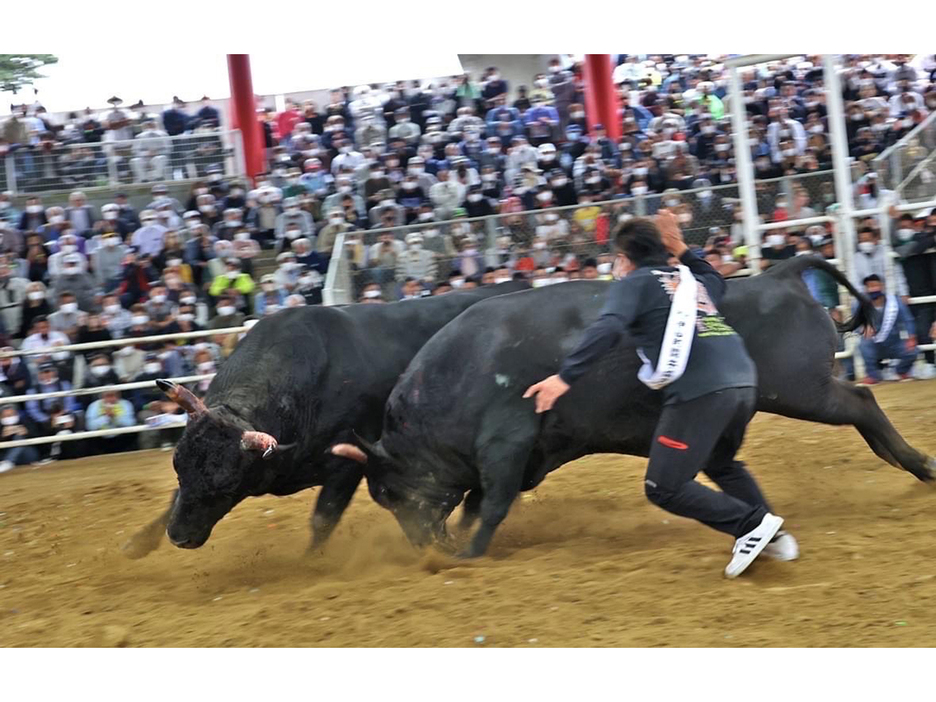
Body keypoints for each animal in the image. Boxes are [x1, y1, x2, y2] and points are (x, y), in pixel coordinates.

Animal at [121, 280, 532, 560]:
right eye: (178, 468)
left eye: (225, 486)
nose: (179, 536)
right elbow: (173, 497)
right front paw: (137, 543)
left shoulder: (345, 469)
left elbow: (323, 519)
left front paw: (312, 563)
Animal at [332, 256, 932, 560]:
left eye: (389, 492)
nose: (420, 546)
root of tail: (778, 274)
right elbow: (478, 504)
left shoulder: (506, 444)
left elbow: (492, 505)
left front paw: (467, 554)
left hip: (801, 390)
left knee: (861, 402)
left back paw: (919, 464)